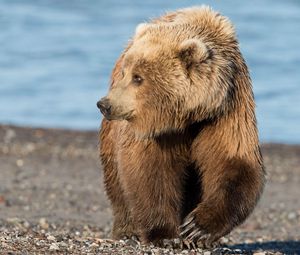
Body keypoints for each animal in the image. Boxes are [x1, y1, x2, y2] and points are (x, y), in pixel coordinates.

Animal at [96, 5, 264, 247]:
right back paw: (127, 230)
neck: (189, 115)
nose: (105, 104)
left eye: (138, 78)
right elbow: (150, 169)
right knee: (115, 180)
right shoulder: (157, 131)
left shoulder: (226, 112)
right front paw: (165, 235)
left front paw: (197, 228)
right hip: (111, 137)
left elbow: (233, 162)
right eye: (125, 73)